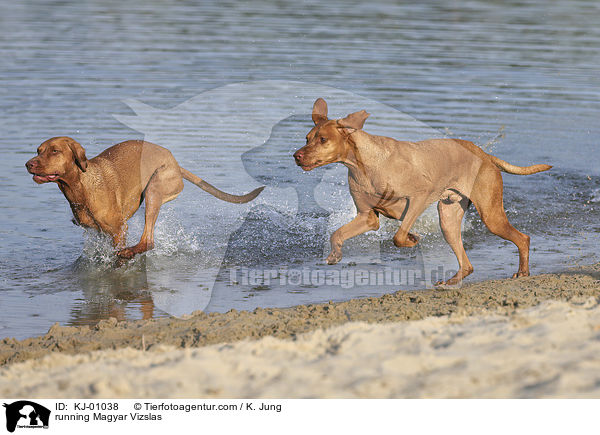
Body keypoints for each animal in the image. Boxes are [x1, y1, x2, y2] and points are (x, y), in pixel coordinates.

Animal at [25, 137, 264, 258]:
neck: (81, 187)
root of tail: (176, 164)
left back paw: (130, 252)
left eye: (55, 151)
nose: (28, 164)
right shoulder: (97, 232)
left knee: (148, 241)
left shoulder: (119, 230)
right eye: (38, 150)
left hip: (154, 190)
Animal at [292, 98, 552, 286]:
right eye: (307, 138)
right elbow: (337, 234)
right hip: (448, 220)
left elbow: (398, 236)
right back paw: (453, 280)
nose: (296, 155)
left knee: (523, 238)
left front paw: (411, 238)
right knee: (467, 263)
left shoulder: (418, 197)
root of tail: (485, 155)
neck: (363, 164)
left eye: (323, 139)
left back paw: (523, 272)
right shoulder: (367, 217)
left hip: (490, 215)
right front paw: (335, 255)